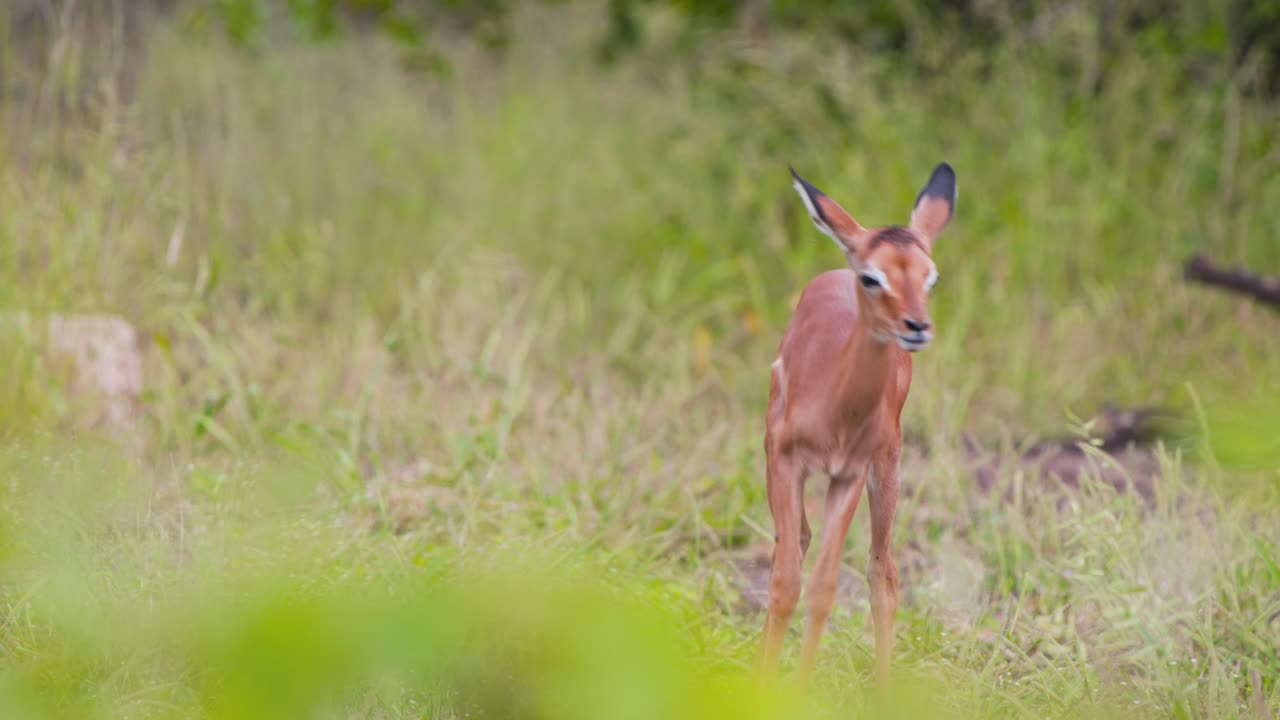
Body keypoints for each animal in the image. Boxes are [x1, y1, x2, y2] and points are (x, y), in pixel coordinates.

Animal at [757, 163, 956, 686]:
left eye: (931, 277)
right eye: (871, 276)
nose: (916, 326)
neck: (836, 410)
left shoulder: (847, 475)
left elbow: (823, 589)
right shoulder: (786, 461)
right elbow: (785, 582)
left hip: (887, 472)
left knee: (882, 571)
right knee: (794, 545)